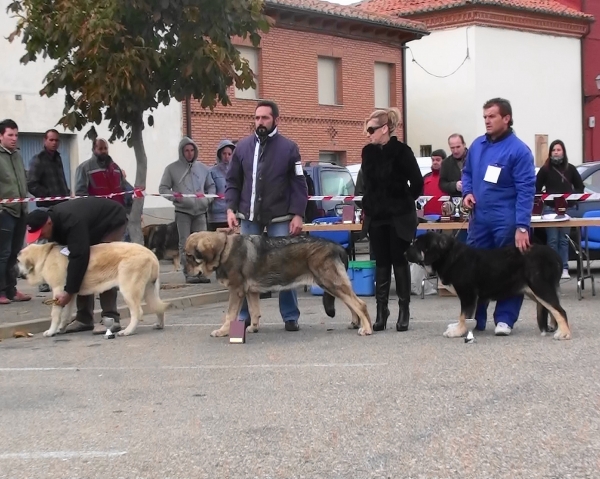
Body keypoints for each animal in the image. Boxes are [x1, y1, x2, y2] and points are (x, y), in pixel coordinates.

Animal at [17, 244, 171, 338]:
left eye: (18, 261)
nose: (17, 274)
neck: (45, 256)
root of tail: (150, 254)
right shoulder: (69, 294)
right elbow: (65, 314)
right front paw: (61, 328)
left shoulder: (58, 291)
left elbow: (55, 314)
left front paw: (51, 331)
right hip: (150, 290)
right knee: (158, 307)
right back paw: (159, 325)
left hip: (129, 291)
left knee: (138, 312)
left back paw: (127, 331)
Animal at [183, 232, 372, 338]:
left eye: (191, 256)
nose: (184, 271)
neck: (224, 249)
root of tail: (337, 246)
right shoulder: (251, 292)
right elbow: (254, 312)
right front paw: (253, 327)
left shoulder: (236, 291)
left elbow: (229, 315)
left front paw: (222, 331)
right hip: (330, 284)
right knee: (351, 303)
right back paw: (356, 323)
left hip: (329, 282)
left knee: (360, 304)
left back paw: (367, 329)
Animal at [406, 232, 568, 342]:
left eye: (416, 244)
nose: (403, 252)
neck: (449, 256)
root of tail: (555, 255)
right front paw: (457, 328)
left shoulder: (468, 295)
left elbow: (463, 316)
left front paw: (458, 331)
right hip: (533, 291)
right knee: (553, 309)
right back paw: (554, 327)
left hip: (540, 287)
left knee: (560, 310)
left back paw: (564, 333)